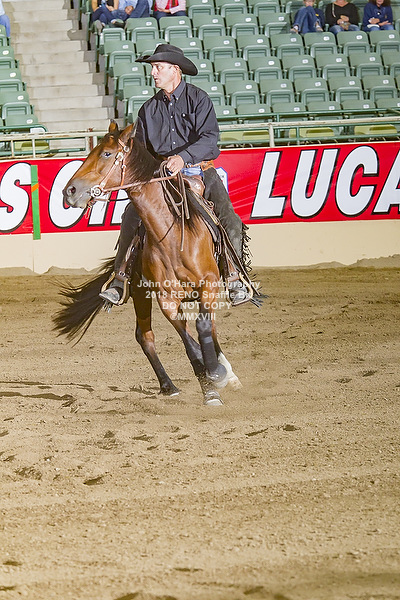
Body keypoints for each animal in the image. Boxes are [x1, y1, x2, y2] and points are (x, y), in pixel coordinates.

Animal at [54, 121, 245, 406]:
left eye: (107, 154)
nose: (70, 191)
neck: (173, 235)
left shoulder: (208, 285)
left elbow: (202, 326)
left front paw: (216, 374)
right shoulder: (165, 298)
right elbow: (186, 339)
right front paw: (209, 386)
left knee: (207, 327)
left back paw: (226, 373)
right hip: (139, 292)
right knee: (145, 335)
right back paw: (169, 385)